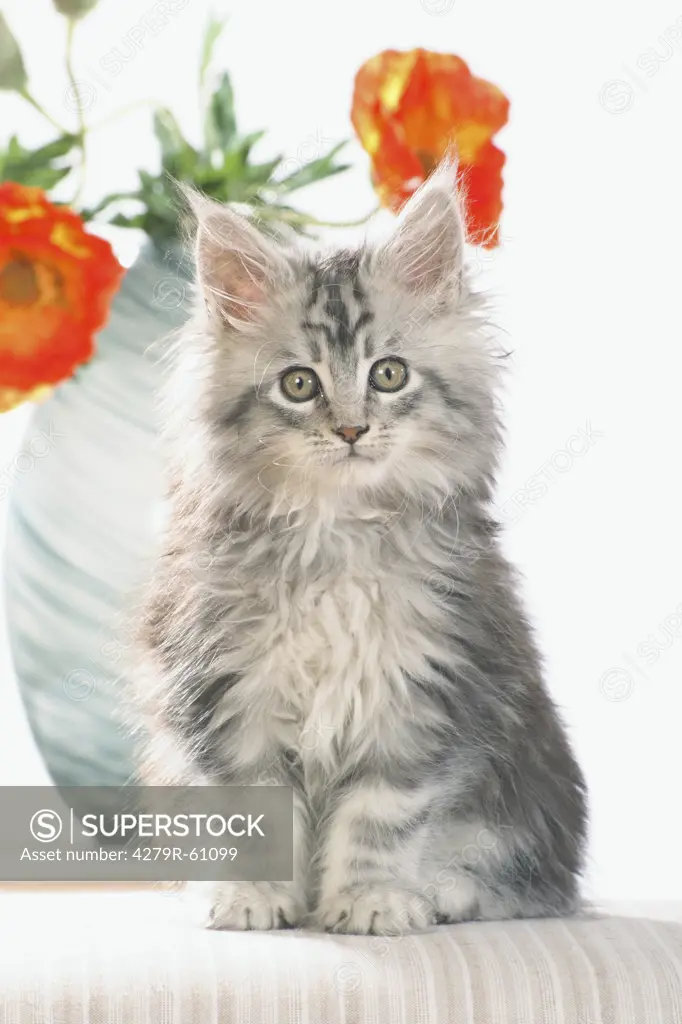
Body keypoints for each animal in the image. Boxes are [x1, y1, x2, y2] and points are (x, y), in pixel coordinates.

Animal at [133, 161, 585, 937]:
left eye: (389, 374)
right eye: (299, 384)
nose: (351, 429)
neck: (334, 533)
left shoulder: (421, 695)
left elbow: (383, 817)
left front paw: (371, 902)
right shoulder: (224, 688)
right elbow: (250, 811)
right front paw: (254, 898)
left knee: (524, 884)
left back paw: (438, 893)